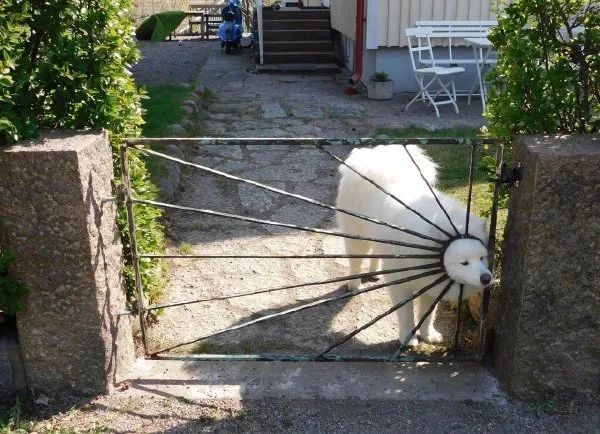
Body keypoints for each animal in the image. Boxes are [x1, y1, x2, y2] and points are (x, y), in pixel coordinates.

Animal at [335, 145, 491, 346]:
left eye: (482, 258)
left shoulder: (432, 285)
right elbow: (406, 314)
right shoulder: (402, 283)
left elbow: (428, 313)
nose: (487, 278)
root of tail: (376, 158)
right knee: (355, 259)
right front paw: (408, 338)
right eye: (464, 262)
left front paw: (429, 335)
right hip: (357, 234)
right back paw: (354, 284)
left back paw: (375, 272)